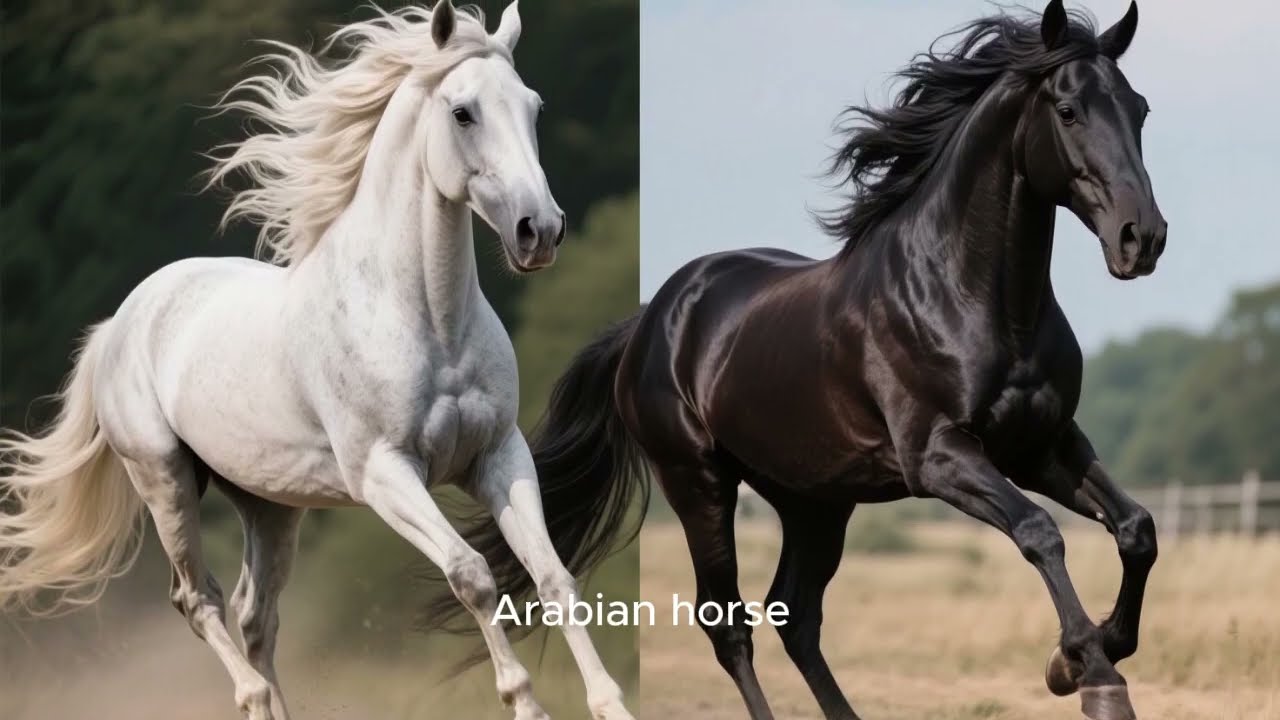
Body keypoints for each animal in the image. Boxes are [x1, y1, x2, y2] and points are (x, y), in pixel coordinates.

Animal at [0, 3, 635, 719]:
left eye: (532, 107)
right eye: (463, 112)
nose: (540, 231)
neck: (428, 322)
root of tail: (120, 324)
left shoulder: (498, 455)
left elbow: (554, 577)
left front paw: (611, 705)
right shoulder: (386, 474)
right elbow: (469, 574)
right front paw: (524, 702)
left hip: (268, 505)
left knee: (255, 614)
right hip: (164, 479)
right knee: (198, 599)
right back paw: (250, 695)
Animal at [524, 2, 1164, 719]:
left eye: (1138, 109)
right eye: (1068, 110)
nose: (1142, 238)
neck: (976, 298)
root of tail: (649, 322)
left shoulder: (1041, 445)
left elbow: (1136, 528)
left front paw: (1084, 655)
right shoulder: (938, 456)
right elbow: (1039, 530)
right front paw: (1092, 675)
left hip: (814, 499)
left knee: (795, 614)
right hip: (698, 482)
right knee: (730, 625)